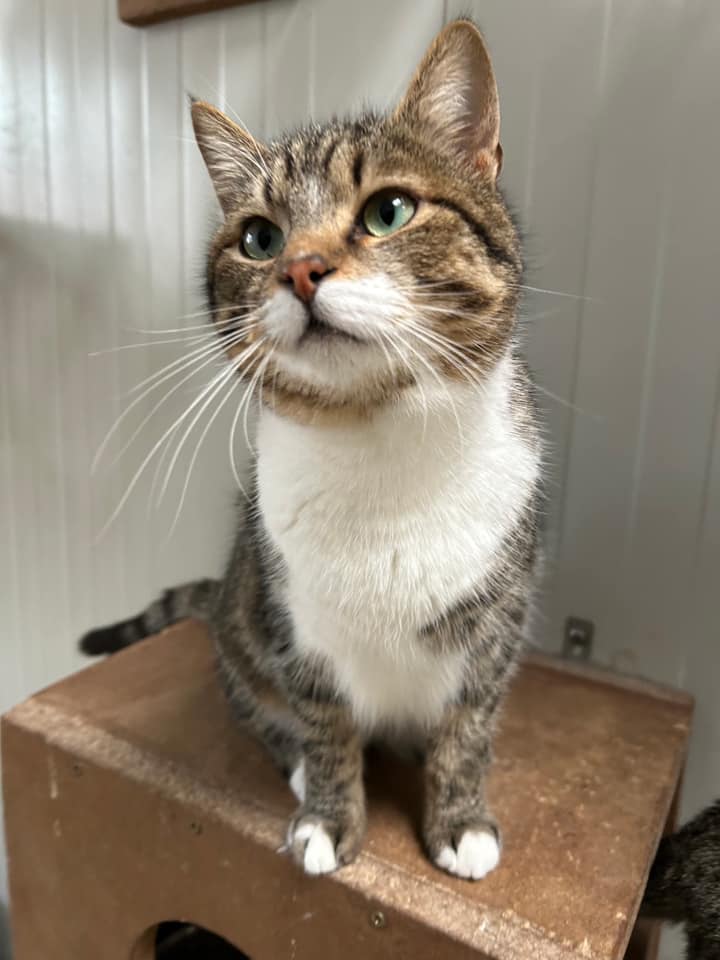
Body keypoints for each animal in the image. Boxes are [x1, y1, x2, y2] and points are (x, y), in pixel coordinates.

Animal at [81, 20, 543, 879]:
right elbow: (325, 727)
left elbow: (468, 727)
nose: (299, 268)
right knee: (257, 707)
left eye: (389, 210)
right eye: (259, 238)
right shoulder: (298, 629)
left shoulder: (493, 628)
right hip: (241, 626)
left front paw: (460, 820)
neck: (379, 443)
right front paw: (329, 816)